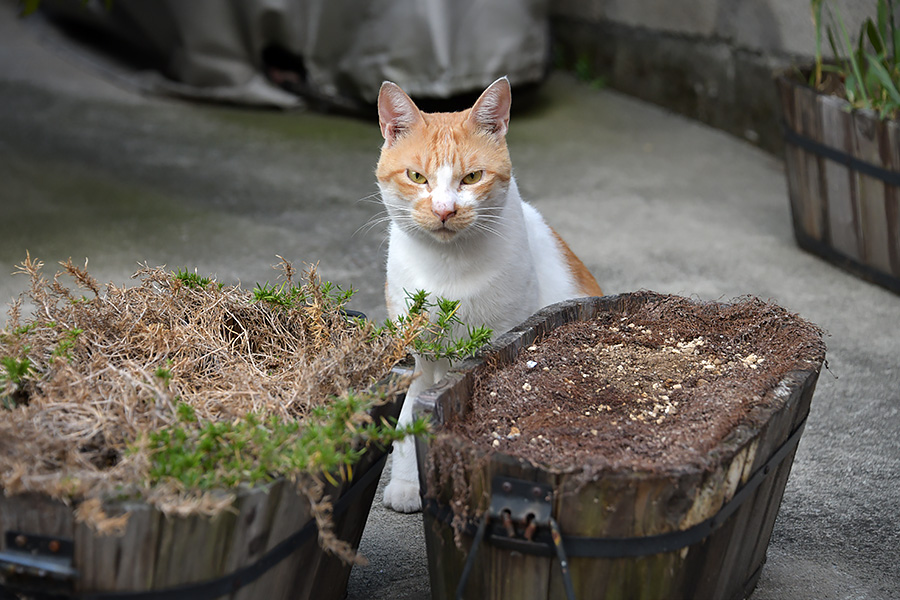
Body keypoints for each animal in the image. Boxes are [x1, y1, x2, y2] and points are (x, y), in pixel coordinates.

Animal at [376, 77, 600, 512]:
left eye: (472, 177)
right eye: (417, 176)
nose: (444, 210)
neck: (448, 268)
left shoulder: (502, 340)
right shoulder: (420, 355)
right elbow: (412, 412)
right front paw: (409, 482)